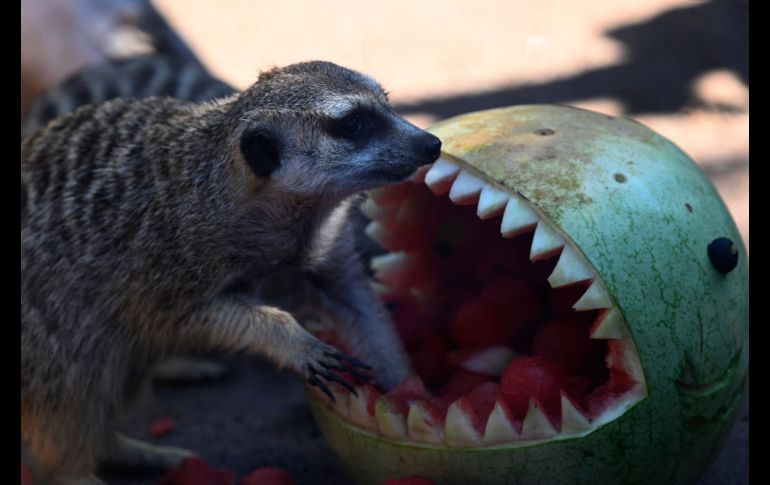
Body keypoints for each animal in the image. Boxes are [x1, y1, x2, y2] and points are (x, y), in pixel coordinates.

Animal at [21, 60, 442, 484]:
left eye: (386, 102)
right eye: (353, 123)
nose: (431, 143)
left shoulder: (330, 250)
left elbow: (361, 309)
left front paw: (410, 391)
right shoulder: (164, 260)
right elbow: (181, 318)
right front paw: (300, 346)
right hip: (48, 340)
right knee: (67, 402)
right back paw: (82, 469)